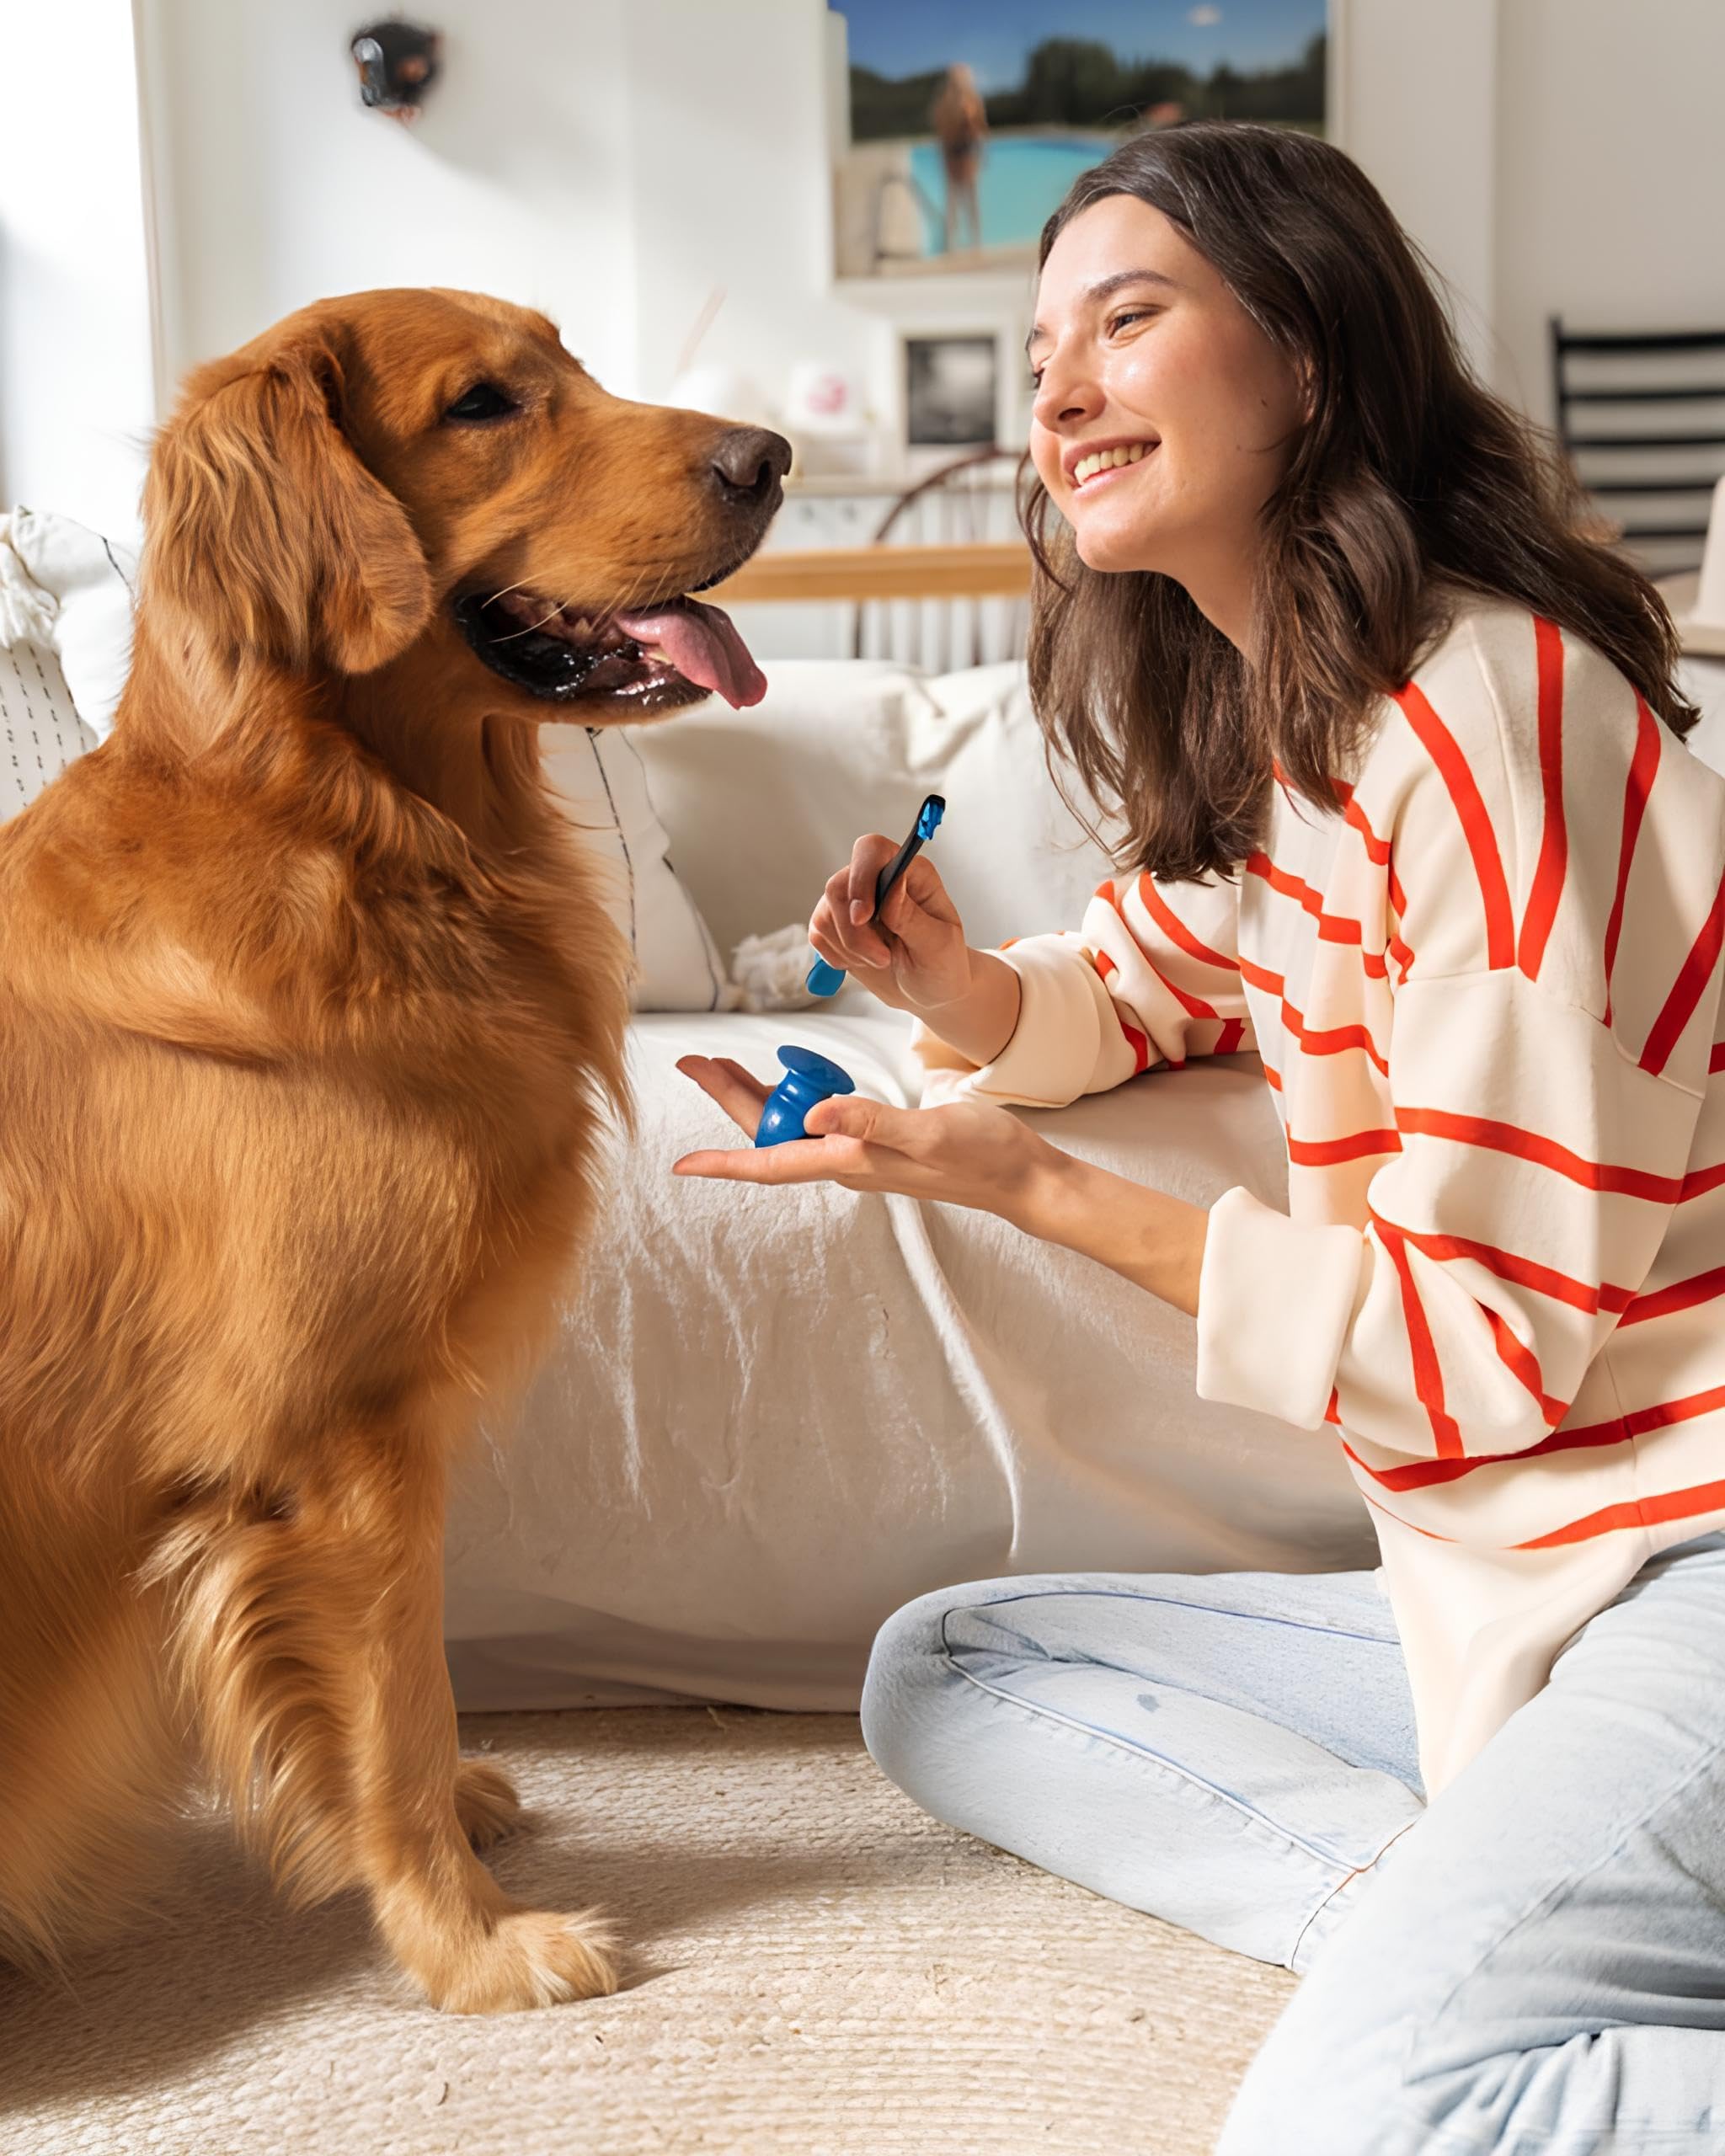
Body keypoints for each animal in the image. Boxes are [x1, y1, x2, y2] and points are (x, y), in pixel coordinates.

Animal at [0, 286, 793, 2000]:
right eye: (484, 403)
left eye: (567, 365)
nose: (773, 455)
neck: (352, 832)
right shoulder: (336, 1436)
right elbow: (390, 1697)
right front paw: (471, 1944)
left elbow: (403, 1692)